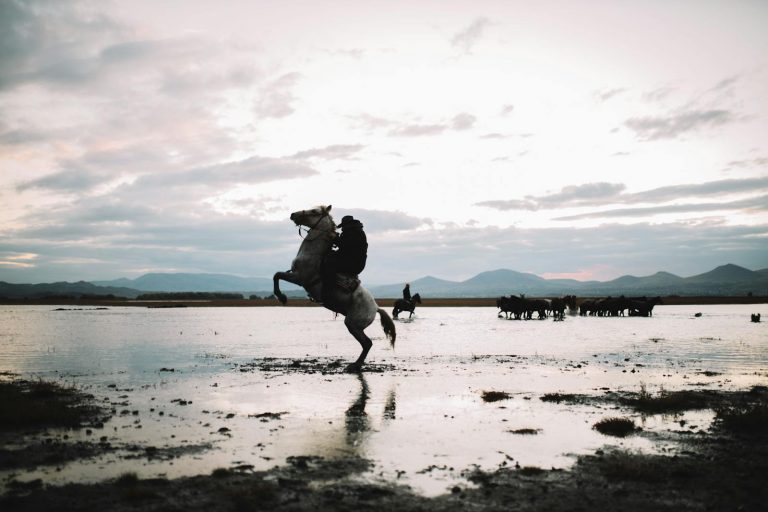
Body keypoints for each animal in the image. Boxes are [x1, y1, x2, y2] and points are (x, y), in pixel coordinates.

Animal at [272, 205, 396, 372]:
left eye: (314, 211)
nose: (293, 214)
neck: (313, 255)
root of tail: (376, 308)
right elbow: (277, 275)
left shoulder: (299, 278)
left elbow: (277, 275)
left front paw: (282, 297)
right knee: (366, 344)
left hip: (352, 324)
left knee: (367, 343)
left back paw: (354, 365)